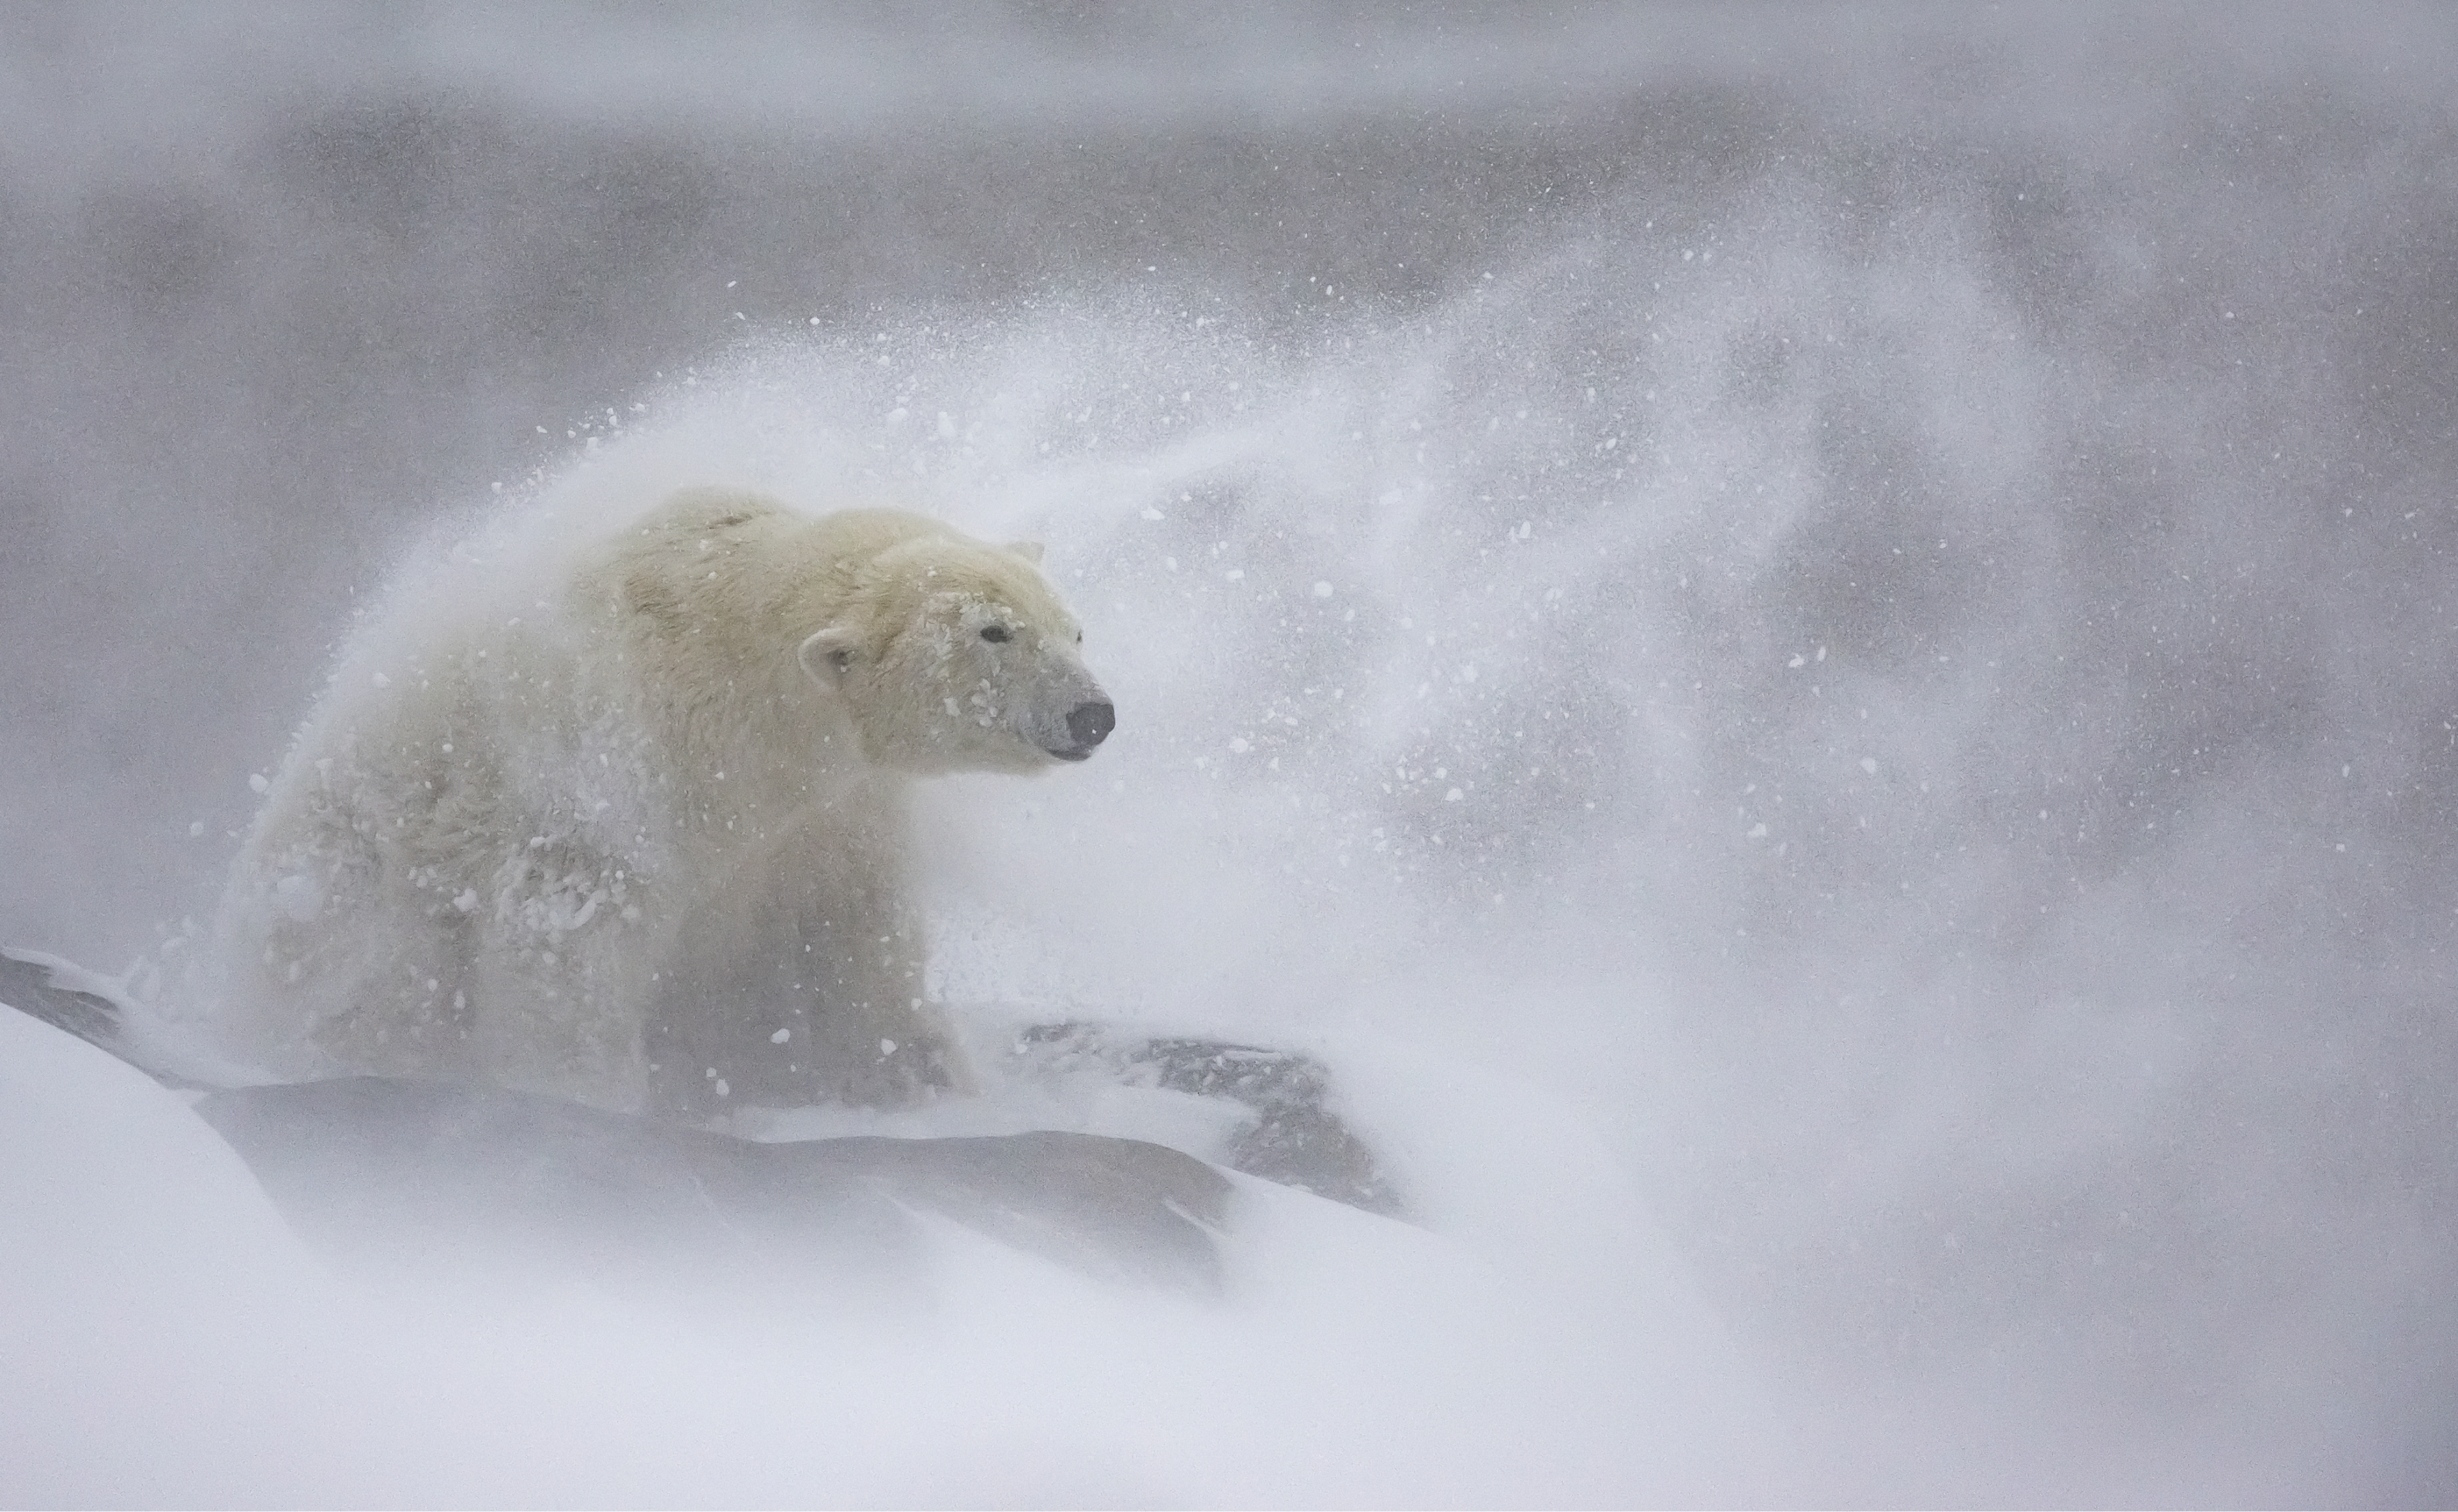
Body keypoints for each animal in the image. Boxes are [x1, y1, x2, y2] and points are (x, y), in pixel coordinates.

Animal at [211, 492, 1116, 1116]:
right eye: (993, 633)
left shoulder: (833, 815)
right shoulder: (617, 771)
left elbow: (854, 941)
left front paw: (924, 1082)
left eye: (1071, 629)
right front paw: (586, 1097)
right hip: (351, 895)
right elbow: (568, 937)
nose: (1092, 714)